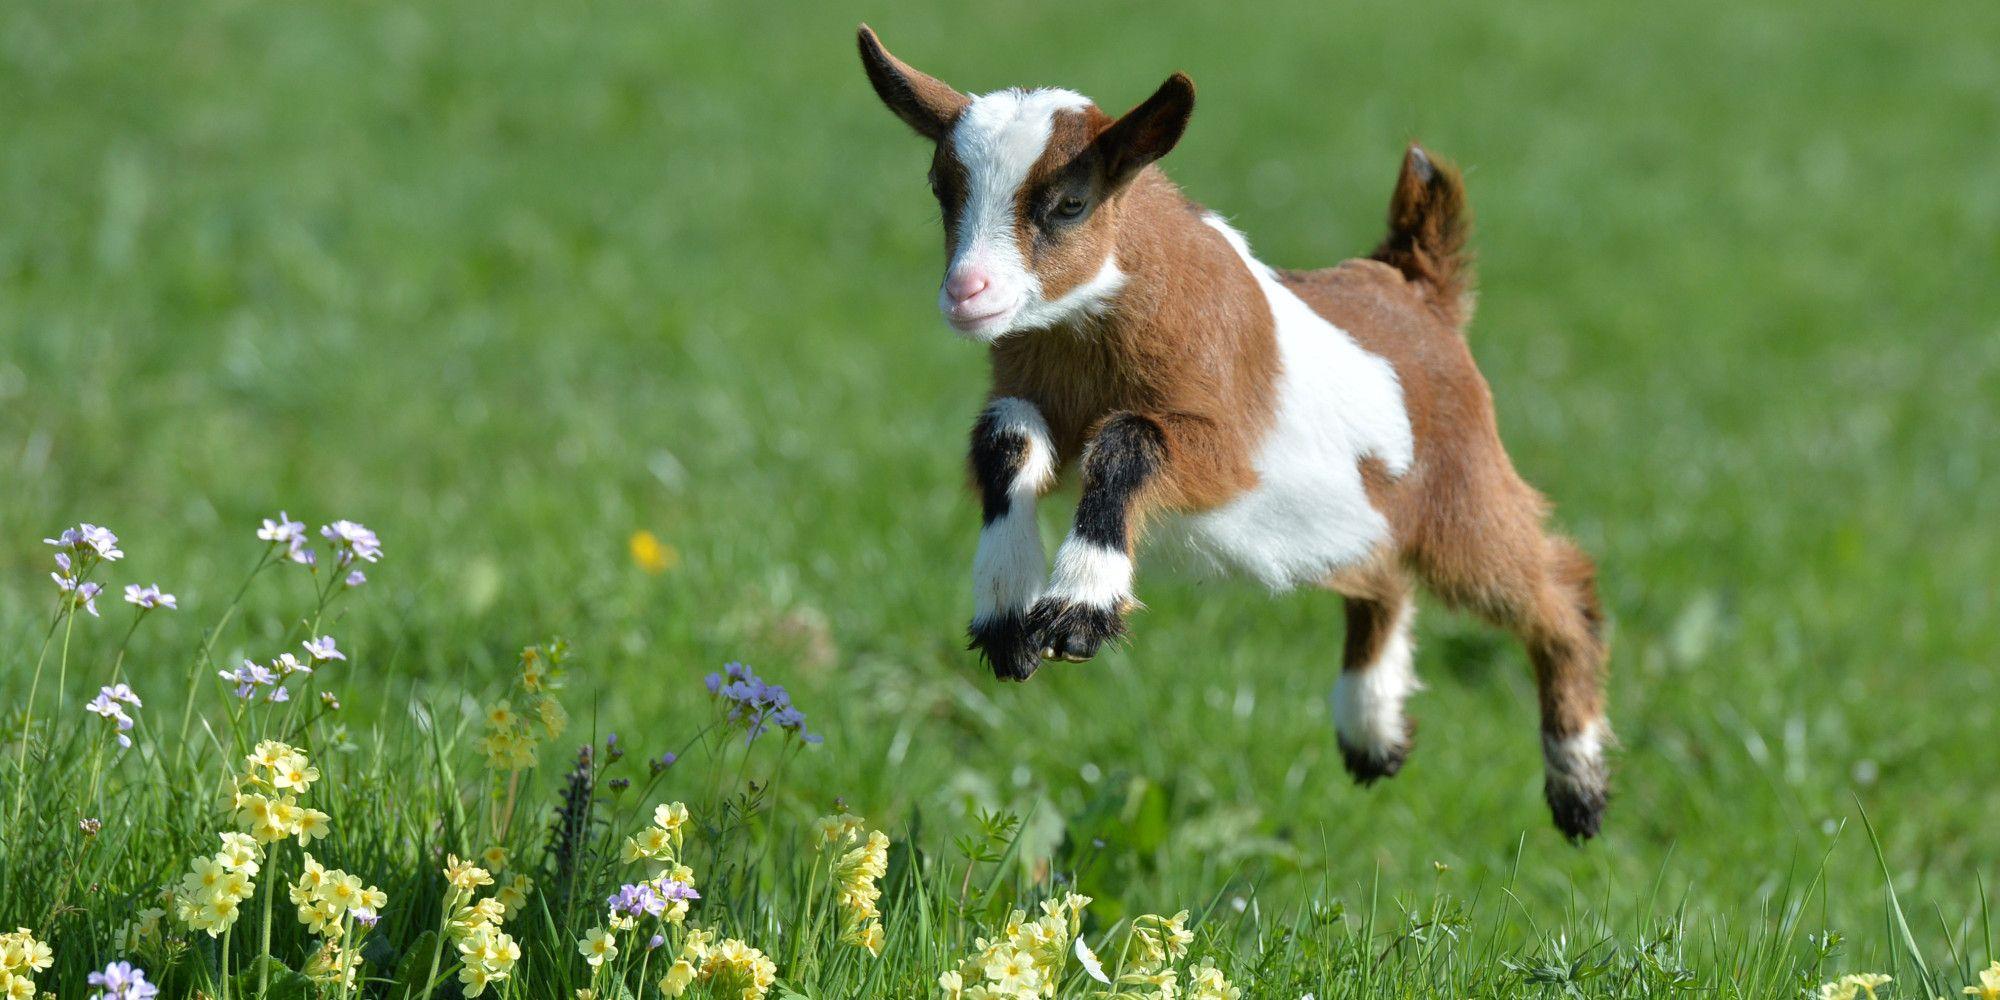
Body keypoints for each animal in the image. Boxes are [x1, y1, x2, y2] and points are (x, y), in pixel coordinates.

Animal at [857, 25, 1612, 840]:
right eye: (942, 190)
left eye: (1070, 203)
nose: (967, 294)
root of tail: (1417, 285)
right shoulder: (1031, 392)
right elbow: (1006, 439)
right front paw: (1005, 614)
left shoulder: (1226, 450)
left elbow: (1128, 440)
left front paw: (1081, 611)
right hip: (1356, 514)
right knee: (1384, 578)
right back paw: (1372, 734)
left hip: (1461, 491)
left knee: (1557, 588)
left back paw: (1578, 783)